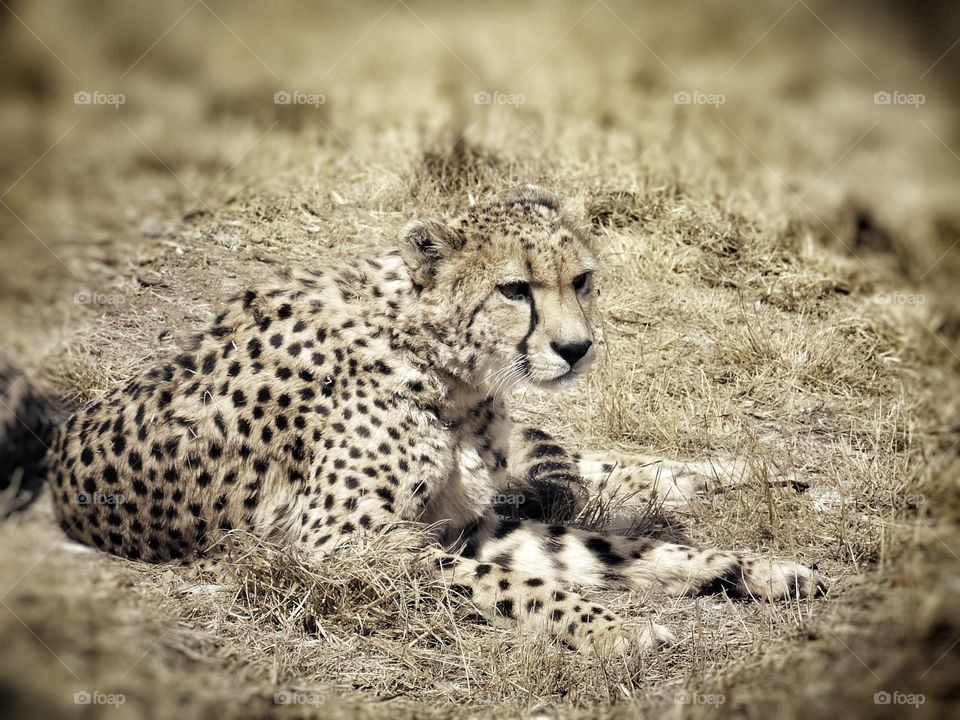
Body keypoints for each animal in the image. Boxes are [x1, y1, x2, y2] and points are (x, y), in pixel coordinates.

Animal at [0, 186, 825, 654]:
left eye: (582, 280)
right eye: (515, 289)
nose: (576, 348)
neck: (448, 370)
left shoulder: (458, 519)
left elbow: (602, 545)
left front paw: (750, 568)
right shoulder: (340, 542)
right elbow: (515, 581)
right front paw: (611, 628)